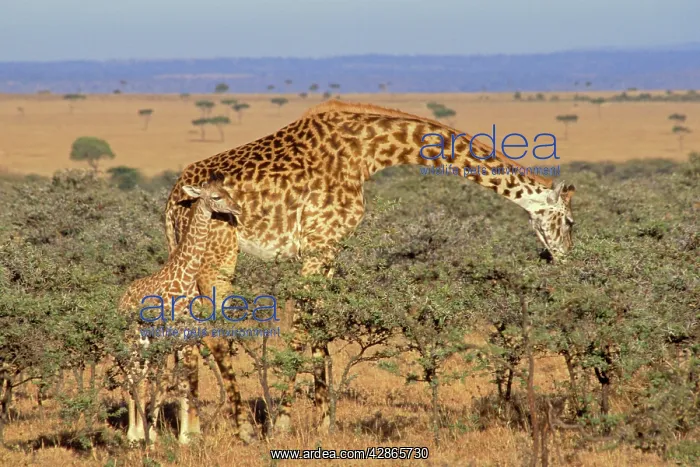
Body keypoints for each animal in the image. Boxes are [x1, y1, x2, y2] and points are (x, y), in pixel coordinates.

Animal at [118, 176, 242, 445]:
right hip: (133, 337)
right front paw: (152, 434)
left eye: (228, 192)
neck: (184, 276)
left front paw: (181, 436)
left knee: (141, 375)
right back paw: (134, 434)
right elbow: (165, 379)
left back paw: (140, 431)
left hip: (146, 341)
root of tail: (121, 299)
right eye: (215, 197)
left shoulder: (184, 336)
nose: (237, 208)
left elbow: (181, 380)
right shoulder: (168, 334)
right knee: (134, 376)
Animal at [163, 99, 577, 436]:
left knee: (187, 334)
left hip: (185, 254)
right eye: (571, 222)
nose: (566, 259)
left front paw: (324, 422)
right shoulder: (318, 244)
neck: (367, 153)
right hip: (218, 257)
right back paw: (242, 429)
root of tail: (172, 200)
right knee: (214, 334)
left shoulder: (330, 249)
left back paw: (189, 431)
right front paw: (282, 422)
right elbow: (301, 330)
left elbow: (320, 328)